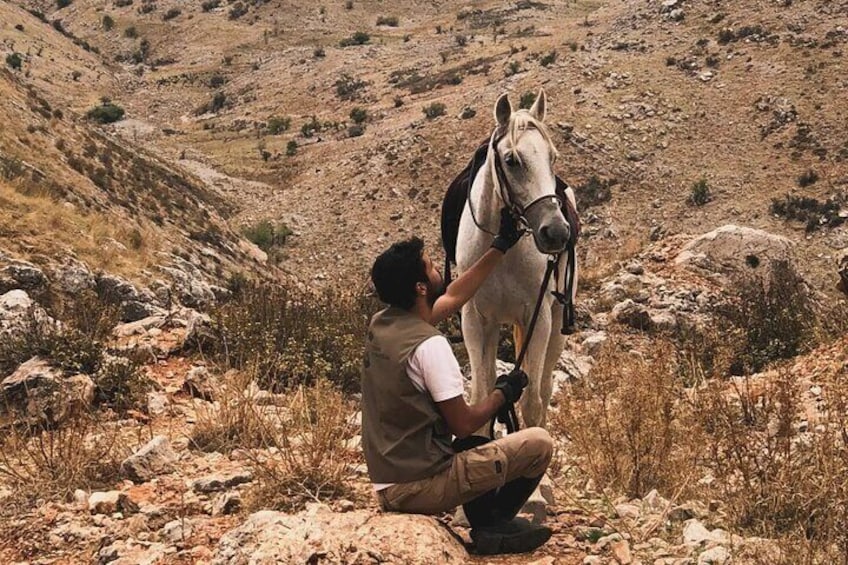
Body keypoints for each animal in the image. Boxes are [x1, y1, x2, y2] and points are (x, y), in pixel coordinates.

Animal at [458, 90, 576, 430]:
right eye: (512, 160)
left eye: (552, 157)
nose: (556, 232)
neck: (503, 254)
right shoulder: (476, 321)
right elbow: (480, 399)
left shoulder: (538, 319)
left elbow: (532, 403)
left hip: (557, 324)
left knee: (545, 388)